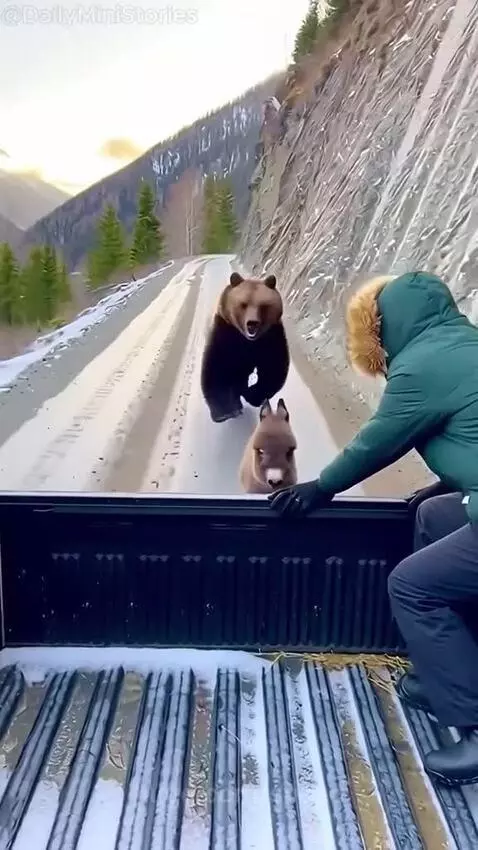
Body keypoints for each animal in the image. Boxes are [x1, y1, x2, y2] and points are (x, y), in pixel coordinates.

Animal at [200, 271, 290, 423]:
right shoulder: (226, 333)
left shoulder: (271, 336)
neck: (248, 340)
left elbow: (273, 367)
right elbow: (216, 368)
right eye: (243, 304)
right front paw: (224, 411)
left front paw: (252, 395)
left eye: (263, 306)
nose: (252, 323)